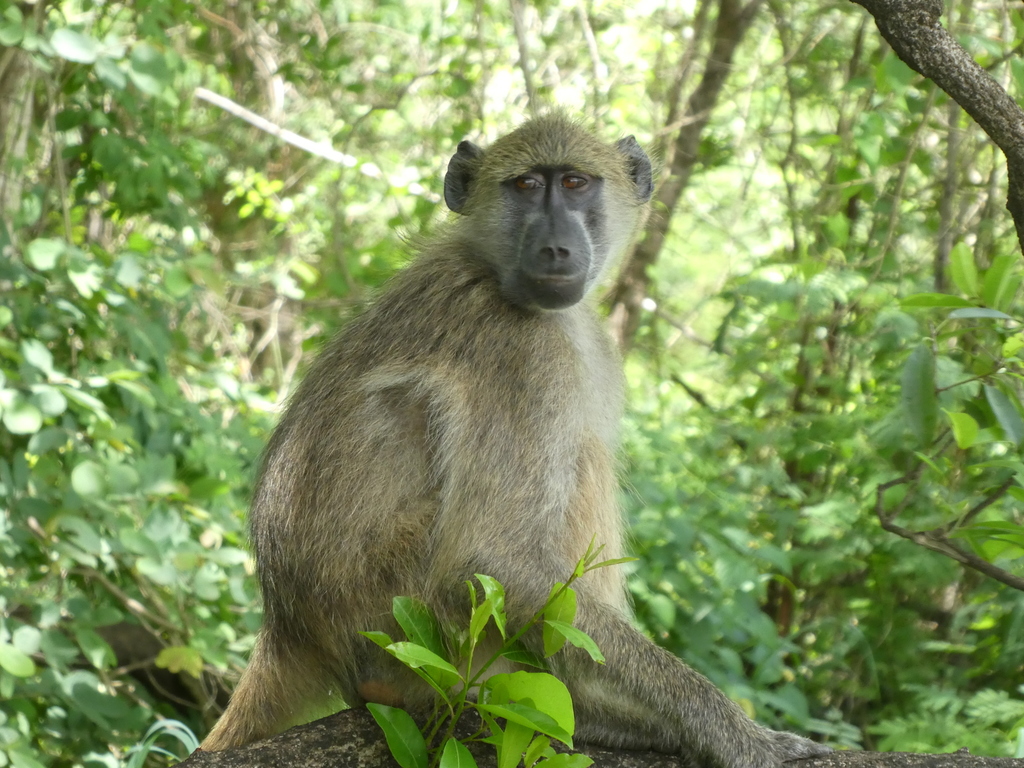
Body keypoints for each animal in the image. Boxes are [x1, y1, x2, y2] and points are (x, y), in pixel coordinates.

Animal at [200, 113, 832, 767]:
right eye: (526, 185)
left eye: (575, 183)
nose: (555, 247)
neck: (491, 269)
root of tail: (289, 629)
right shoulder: (527, 356)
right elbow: (493, 558)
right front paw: (740, 736)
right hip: (416, 639)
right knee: (579, 465)